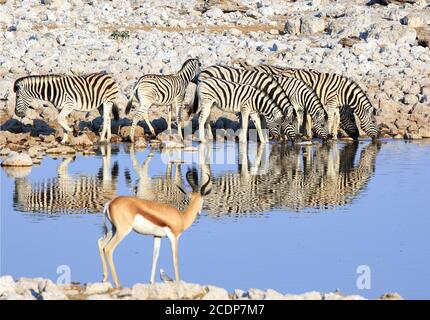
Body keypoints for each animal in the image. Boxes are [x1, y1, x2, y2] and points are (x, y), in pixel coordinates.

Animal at [247, 64, 378, 139]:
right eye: (352, 119)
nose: (376, 137)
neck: (344, 92)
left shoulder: (336, 105)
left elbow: (337, 120)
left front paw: (334, 136)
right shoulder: (331, 102)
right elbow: (331, 119)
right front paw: (330, 135)